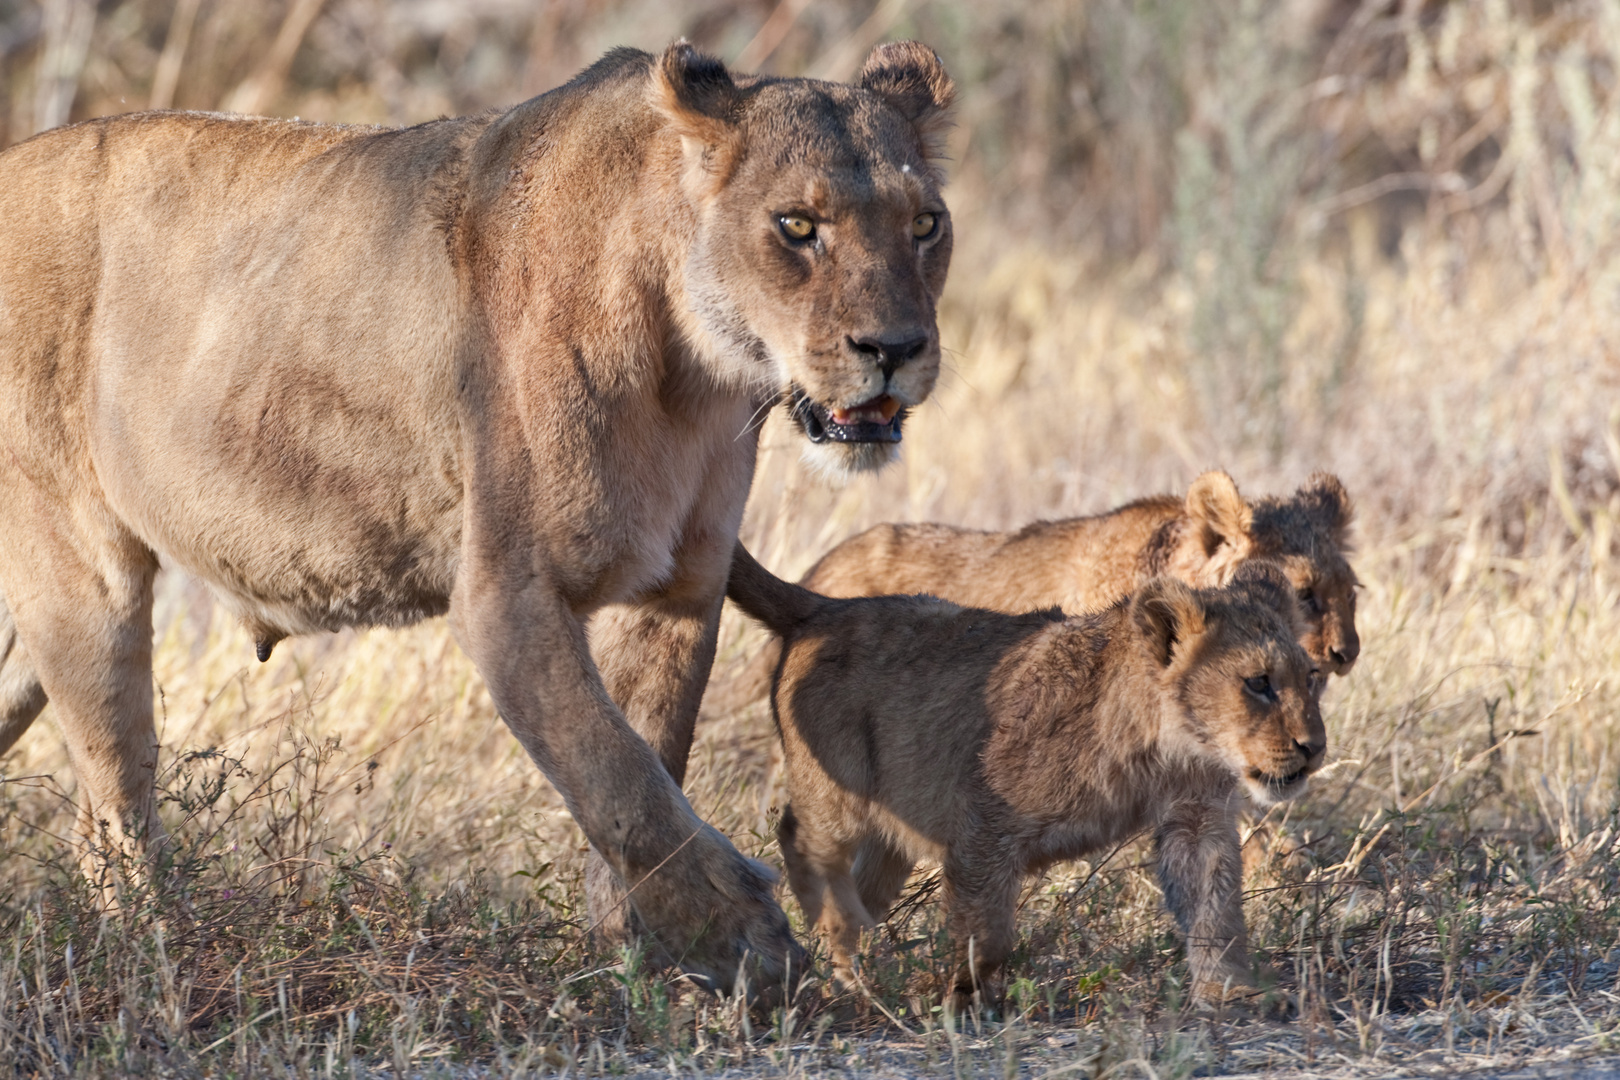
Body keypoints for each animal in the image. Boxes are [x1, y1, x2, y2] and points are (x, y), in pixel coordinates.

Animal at [0, 42, 952, 997]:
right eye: (797, 225)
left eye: (924, 225)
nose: (896, 350)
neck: (688, 374)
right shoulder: (505, 591)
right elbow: (618, 780)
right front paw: (750, 946)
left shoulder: (680, 589)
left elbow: (649, 758)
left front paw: (638, 960)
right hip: (81, 573)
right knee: (115, 813)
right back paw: (164, 956)